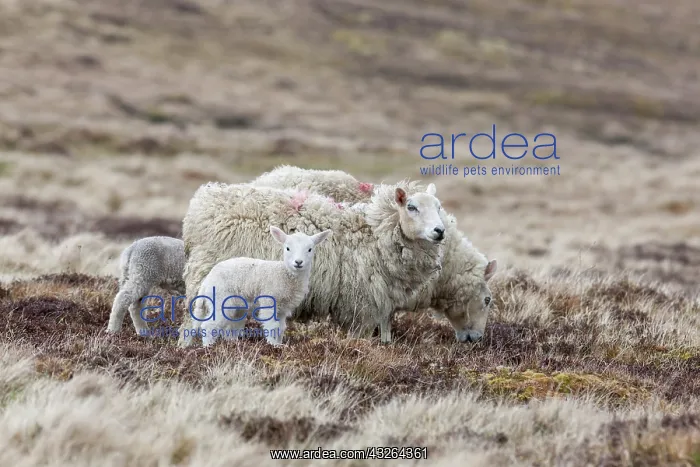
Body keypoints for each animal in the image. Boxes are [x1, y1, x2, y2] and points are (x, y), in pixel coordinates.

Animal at [182, 226, 332, 347]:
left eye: (310, 249)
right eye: (287, 248)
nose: (298, 262)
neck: (285, 274)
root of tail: (206, 282)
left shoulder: (283, 309)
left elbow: (281, 328)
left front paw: (279, 345)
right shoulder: (269, 302)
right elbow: (272, 326)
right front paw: (272, 346)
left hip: (235, 307)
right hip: (220, 301)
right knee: (208, 325)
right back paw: (208, 348)